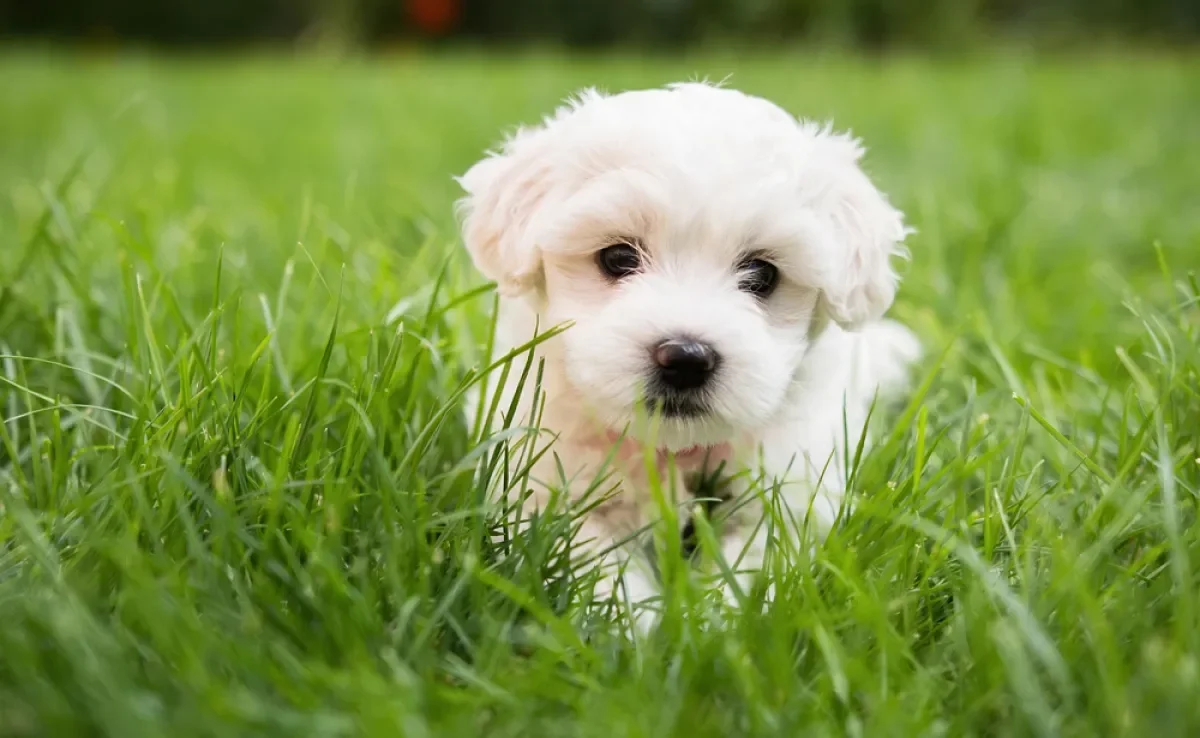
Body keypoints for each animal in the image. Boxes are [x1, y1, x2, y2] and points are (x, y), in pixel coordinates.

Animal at [451, 84, 916, 628]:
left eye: (762, 274)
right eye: (617, 258)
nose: (686, 358)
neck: (671, 450)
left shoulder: (788, 495)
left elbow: (753, 565)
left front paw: (716, 625)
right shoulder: (543, 486)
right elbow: (591, 560)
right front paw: (633, 629)